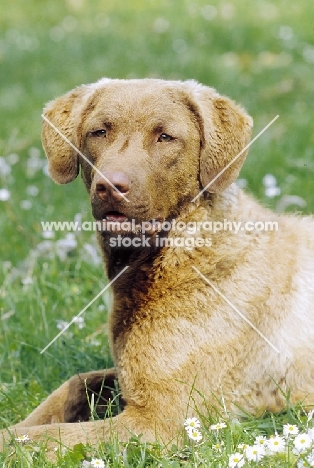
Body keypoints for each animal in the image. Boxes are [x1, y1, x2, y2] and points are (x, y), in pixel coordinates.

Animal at [2, 77, 314, 454]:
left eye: (165, 137)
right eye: (99, 132)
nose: (110, 187)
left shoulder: (161, 420)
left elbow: (39, 437)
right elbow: (71, 387)